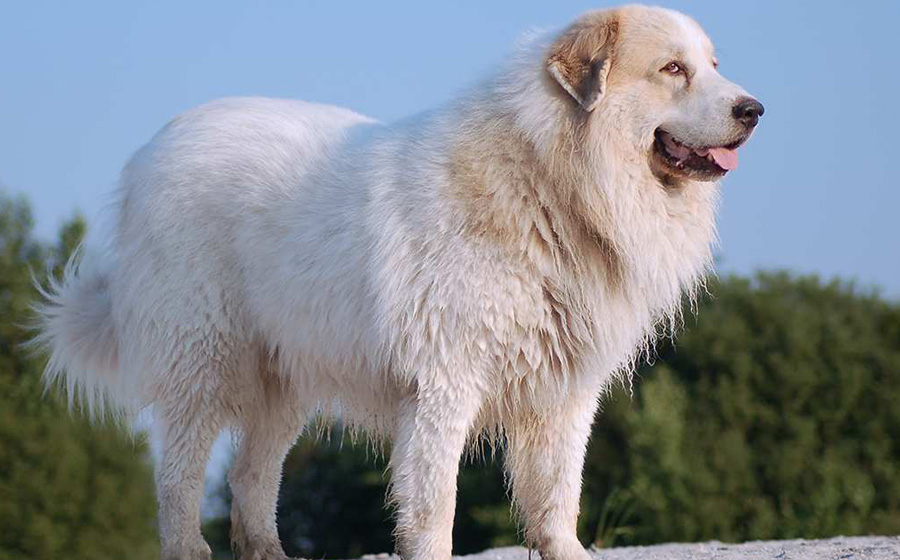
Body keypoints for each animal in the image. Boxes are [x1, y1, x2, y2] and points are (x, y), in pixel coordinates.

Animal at [38, 5, 764, 560]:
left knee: (251, 475)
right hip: (204, 360)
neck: (551, 185)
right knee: (179, 478)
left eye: (713, 65)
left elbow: (558, 496)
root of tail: (154, 148)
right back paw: (190, 545)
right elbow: (436, 505)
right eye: (673, 70)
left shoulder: (564, 389)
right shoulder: (445, 383)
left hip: (285, 377)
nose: (754, 108)